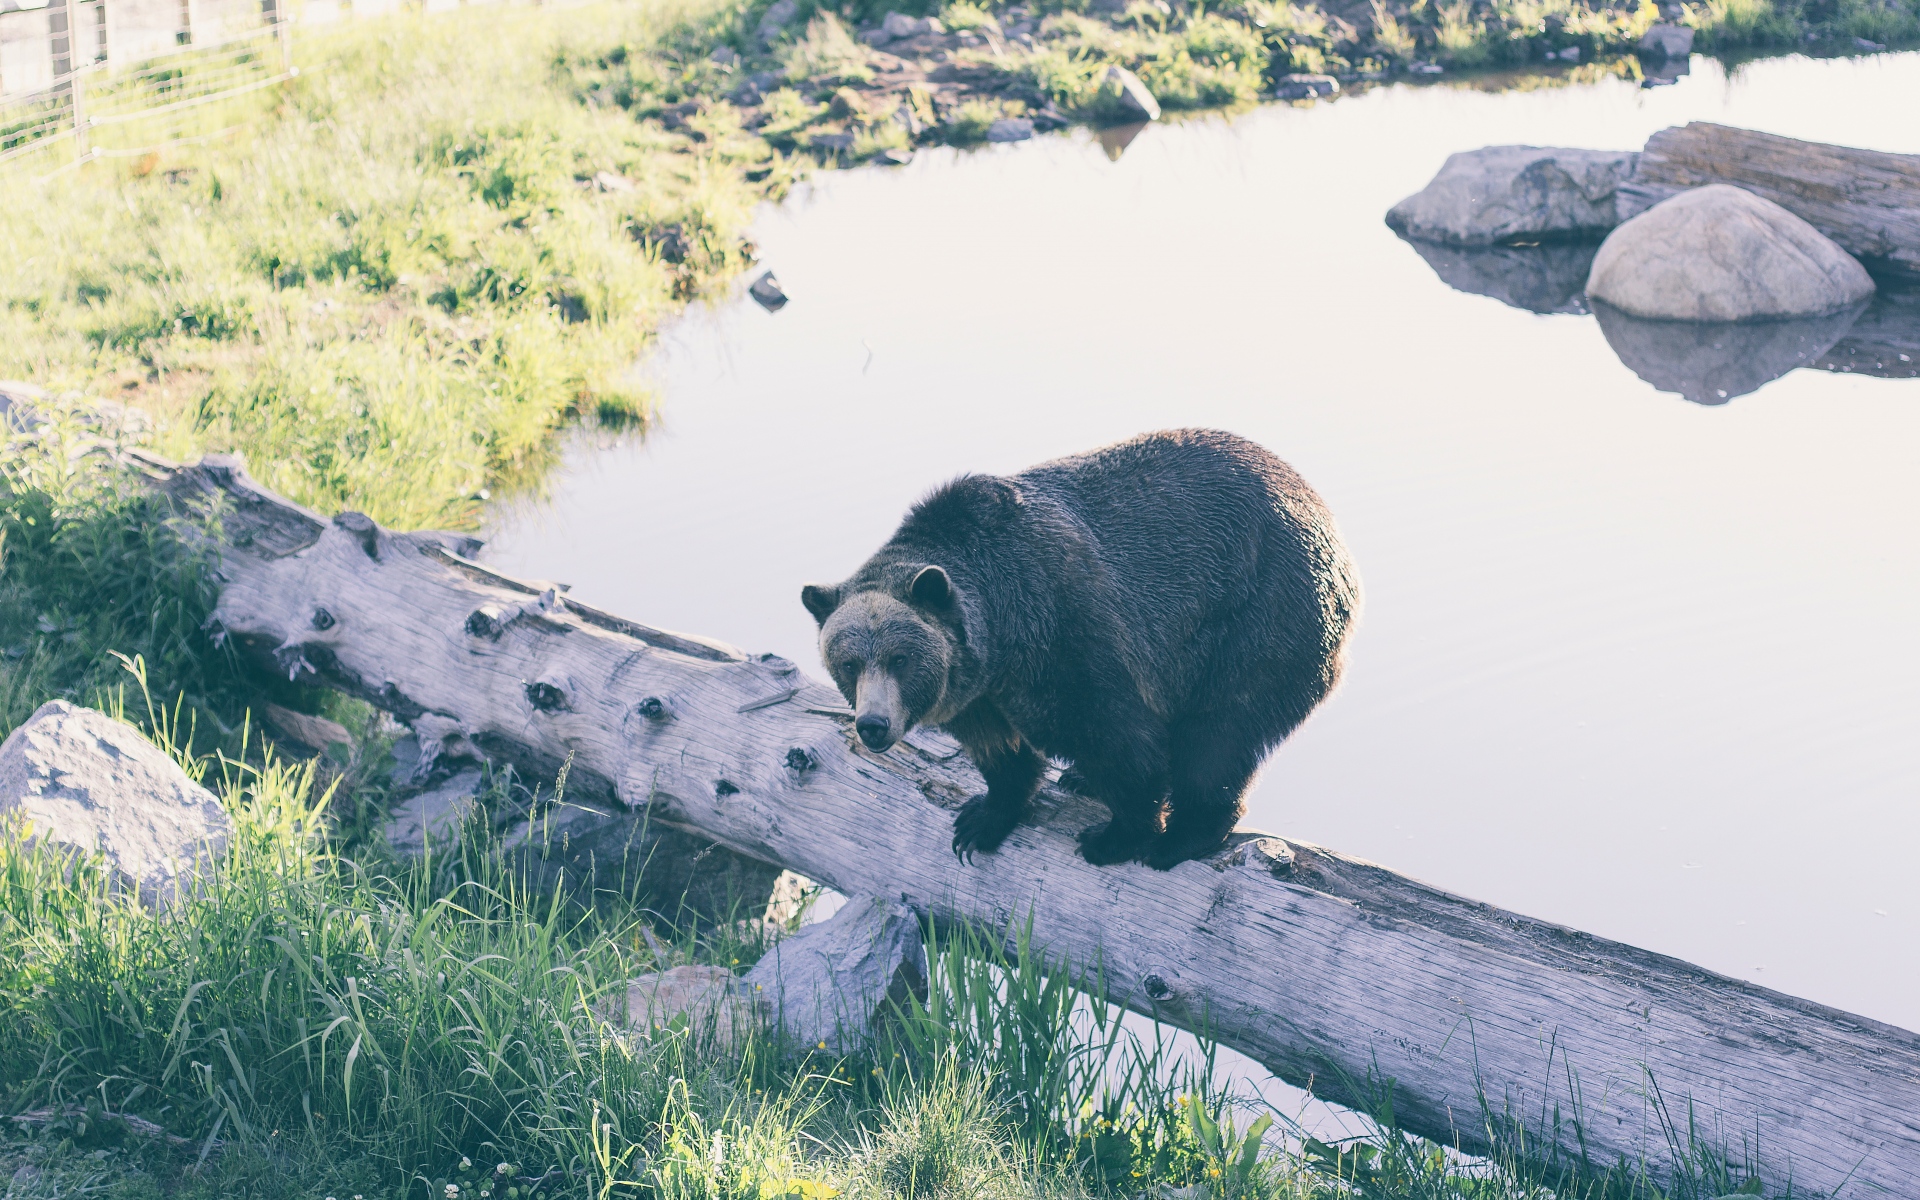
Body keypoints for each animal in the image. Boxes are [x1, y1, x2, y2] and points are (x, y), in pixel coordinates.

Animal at [799, 428, 1361, 871]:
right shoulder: (978, 691)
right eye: (847, 662)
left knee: (1219, 732)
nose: (873, 725)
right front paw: (980, 820)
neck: (1002, 635)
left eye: (900, 659)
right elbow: (999, 751)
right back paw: (1081, 782)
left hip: (1258, 616)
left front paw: (1114, 837)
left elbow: (1120, 740)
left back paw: (1182, 837)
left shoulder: (1064, 632)